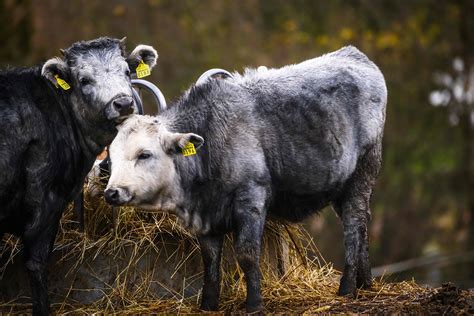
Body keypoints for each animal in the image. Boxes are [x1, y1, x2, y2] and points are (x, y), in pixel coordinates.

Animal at [103, 46, 386, 314]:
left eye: (145, 153)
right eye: (112, 155)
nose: (111, 192)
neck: (213, 137)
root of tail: (353, 55)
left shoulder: (251, 199)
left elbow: (247, 255)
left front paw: (254, 304)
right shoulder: (205, 217)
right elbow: (210, 260)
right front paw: (208, 304)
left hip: (362, 173)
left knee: (354, 226)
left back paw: (347, 287)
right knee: (362, 223)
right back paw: (365, 282)